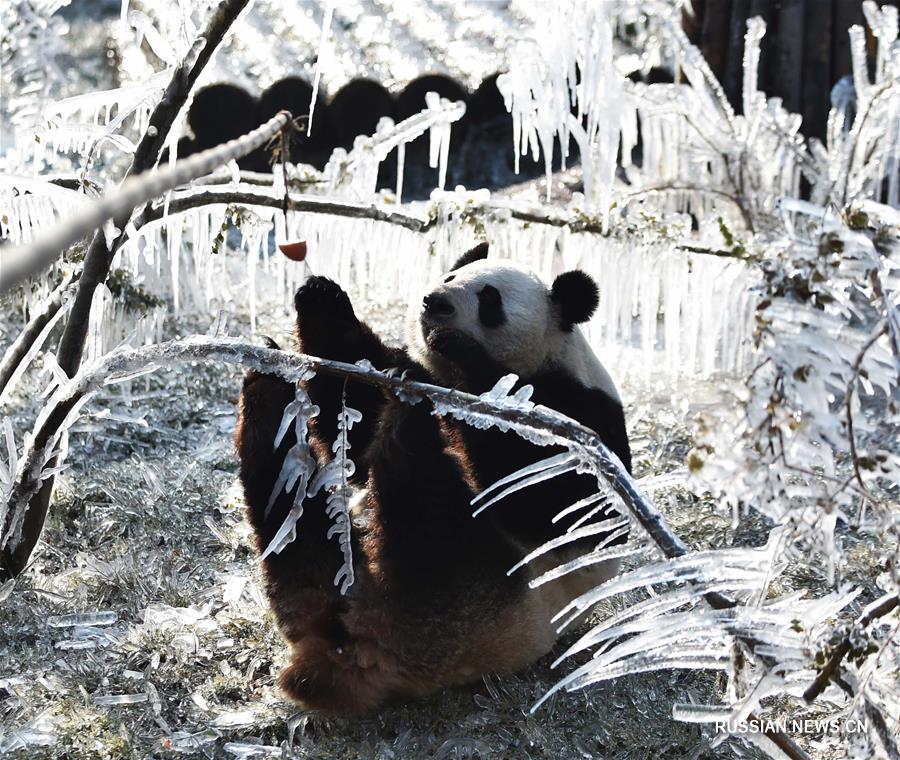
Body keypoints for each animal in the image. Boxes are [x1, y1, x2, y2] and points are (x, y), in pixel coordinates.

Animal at [236, 242, 628, 712]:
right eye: (448, 277)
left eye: (490, 300)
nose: (434, 302)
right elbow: (354, 420)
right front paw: (321, 298)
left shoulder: (581, 411)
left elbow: (553, 501)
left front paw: (460, 355)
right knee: (293, 523)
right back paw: (267, 388)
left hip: (470, 596)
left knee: (426, 508)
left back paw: (408, 424)